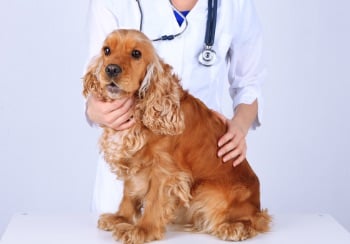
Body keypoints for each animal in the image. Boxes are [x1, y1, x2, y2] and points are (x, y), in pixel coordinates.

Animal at [82, 29, 270, 243]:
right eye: (107, 50)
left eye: (136, 54)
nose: (111, 69)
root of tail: (257, 204)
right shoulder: (135, 162)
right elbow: (129, 193)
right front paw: (121, 218)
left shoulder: (165, 170)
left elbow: (154, 200)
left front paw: (143, 230)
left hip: (207, 191)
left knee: (254, 221)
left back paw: (232, 227)